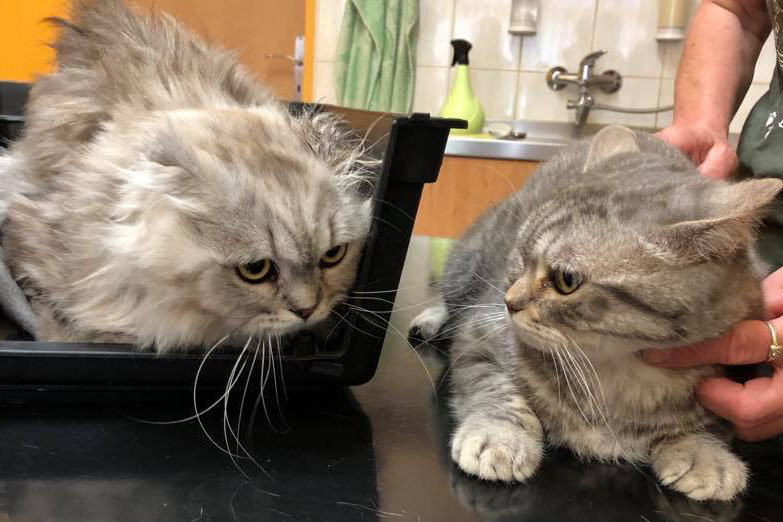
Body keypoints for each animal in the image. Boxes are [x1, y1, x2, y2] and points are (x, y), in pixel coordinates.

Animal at [410, 125, 783, 501]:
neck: (619, 369)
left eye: (566, 280)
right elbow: (494, 388)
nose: (509, 301)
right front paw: (501, 437)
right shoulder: (480, 332)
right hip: (464, 264)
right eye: (521, 254)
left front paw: (704, 453)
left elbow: (708, 424)